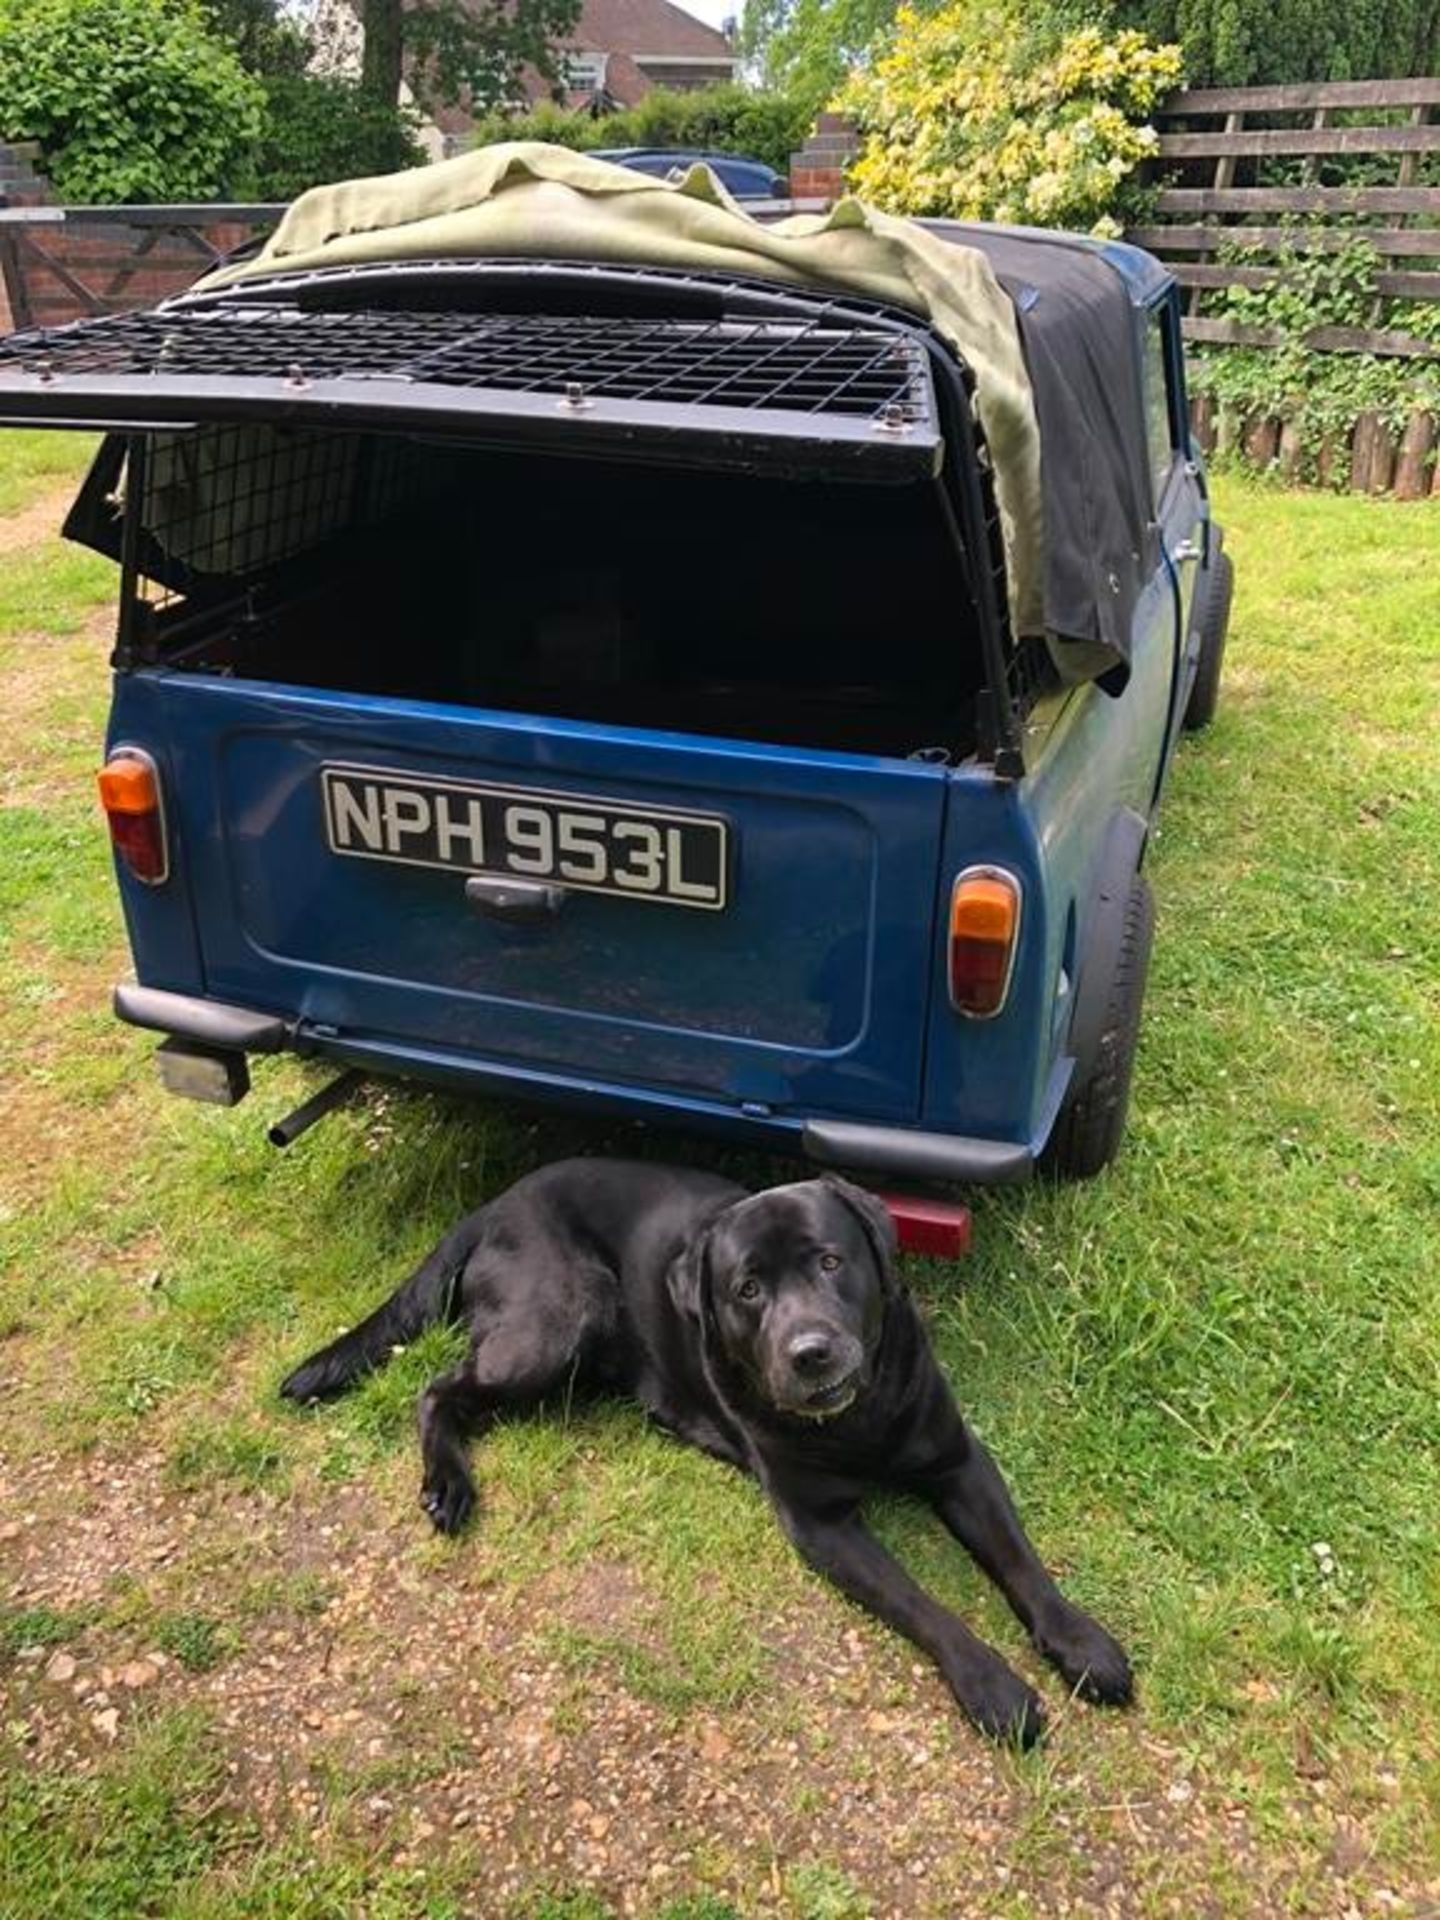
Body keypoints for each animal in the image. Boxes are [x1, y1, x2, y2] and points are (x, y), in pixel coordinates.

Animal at [282, 1159, 1136, 1751]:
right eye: (748, 1289)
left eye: (831, 1262)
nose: (810, 1352)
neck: (859, 1420)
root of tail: (496, 1203)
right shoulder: (823, 1527)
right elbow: (923, 1604)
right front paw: (991, 1685)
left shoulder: (960, 1463)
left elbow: (1020, 1562)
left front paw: (1081, 1642)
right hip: (555, 1322)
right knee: (437, 1389)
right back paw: (448, 1484)